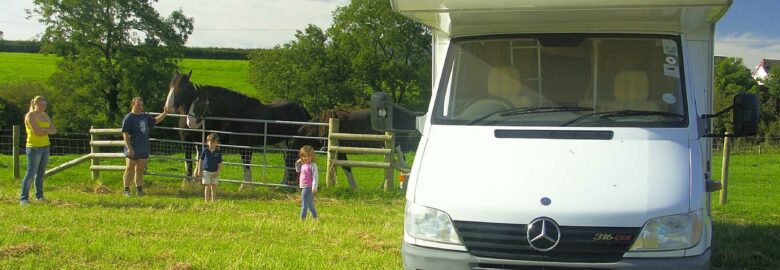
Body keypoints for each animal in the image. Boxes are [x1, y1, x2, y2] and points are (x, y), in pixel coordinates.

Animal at [166, 70, 312, 187]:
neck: (243, 114)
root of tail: (301, 108)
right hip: (282, 141)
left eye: (200, 104)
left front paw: (245, 187)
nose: (190, 122)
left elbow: (246, 165)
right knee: (288, 159)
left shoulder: (246, 146)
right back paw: (283, 184)